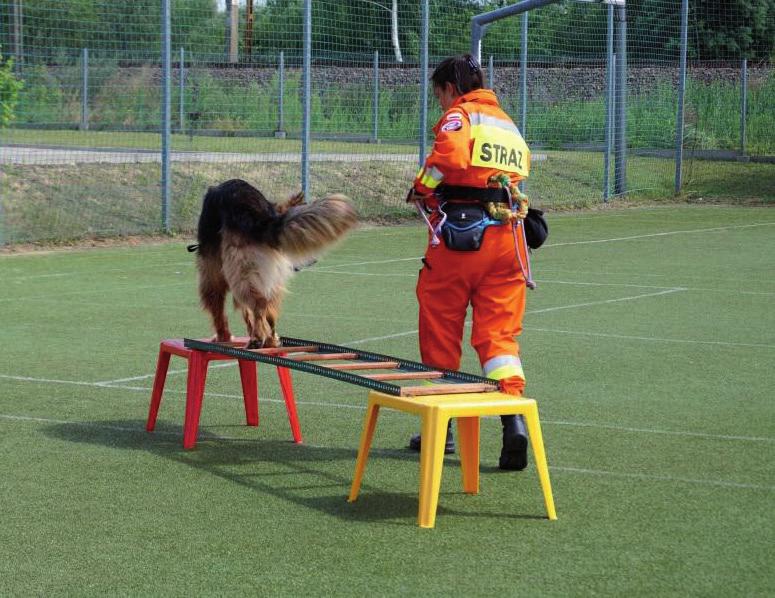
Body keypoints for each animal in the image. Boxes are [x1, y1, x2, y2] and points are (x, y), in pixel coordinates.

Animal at [189, 178, 360, 350]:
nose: (313, 261)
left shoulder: (212, 271)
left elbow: (218, 308)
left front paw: (222, 336)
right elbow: (247, 311)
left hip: (243, 269)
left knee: (259, 303)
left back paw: (257, 338)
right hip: (268, 277)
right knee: (269, 309)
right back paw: (270, 340)